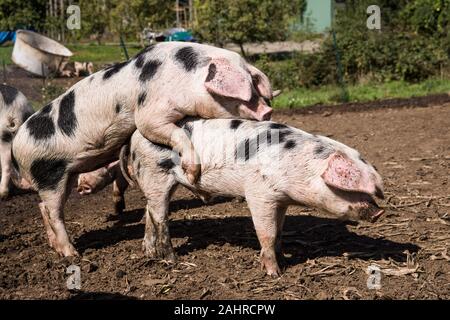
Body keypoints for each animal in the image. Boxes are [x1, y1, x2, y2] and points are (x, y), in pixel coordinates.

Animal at [79, 119, 384, 276]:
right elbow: (266, 233)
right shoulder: (259, 193)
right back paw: (171, 260)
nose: (380, 212)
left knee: (149, 214)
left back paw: (149, 254)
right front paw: (275, 274)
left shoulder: (281, 200)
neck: (299, 165)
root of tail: (133, 138)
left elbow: (279, 232)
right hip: (156, 176)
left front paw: (283, 258)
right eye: (351, 185)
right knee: (160, 217)